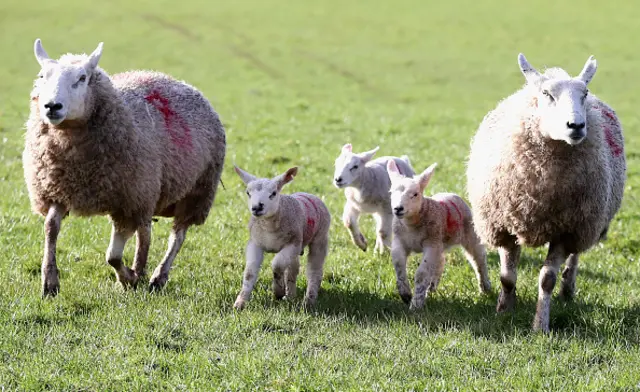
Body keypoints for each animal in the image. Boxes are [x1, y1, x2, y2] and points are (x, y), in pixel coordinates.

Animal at [23, 40, 228, 298]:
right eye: (42, 76)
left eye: (82, 78)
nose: (52, 106)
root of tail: (184, 84)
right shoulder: (57, 190)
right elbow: (51, 228)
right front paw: (50, 281)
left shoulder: (127, 201)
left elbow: (112, 256)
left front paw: (128, 278)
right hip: (149, 193)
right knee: (146, 232)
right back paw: (141, 268)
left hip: (194, 192)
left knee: (176, 236)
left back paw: (157, 276)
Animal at [232, 165, 330, 310]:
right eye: (248, 193)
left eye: (273, 193)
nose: (256, 207)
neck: (269, 228)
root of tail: (308, 194)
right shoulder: (255, 243)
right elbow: (250, 273)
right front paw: (240, 303)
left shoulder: (292, 244)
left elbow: (277, 265)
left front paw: (278, 291)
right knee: (293, 270)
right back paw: (290, 295)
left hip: (319, 238)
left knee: (314, 271)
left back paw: (309, 301)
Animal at [384, 159, 490, 310]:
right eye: (391, 192)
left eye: (415, 194)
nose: (398, 208)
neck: (412, 226)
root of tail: (450, 193)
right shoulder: (400, 241)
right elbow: (399, 265)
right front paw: (405, 294)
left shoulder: (431, 243)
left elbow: (422, 274)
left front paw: (416, 304)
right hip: (440, 243)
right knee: (440, 262)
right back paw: (431, 288)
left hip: (470, 233)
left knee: (478, 259)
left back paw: (485, 288)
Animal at [464, 53, 624, 332]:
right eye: (547, 94)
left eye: (584, 93)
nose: (576, 126)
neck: (541, 189)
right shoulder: (505, 224)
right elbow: (507, 277)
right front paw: (504, 310)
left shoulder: (566, 230)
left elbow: (547, 279)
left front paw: (540, 324)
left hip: (588, 220)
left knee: (575, 255)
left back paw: (567, 288)